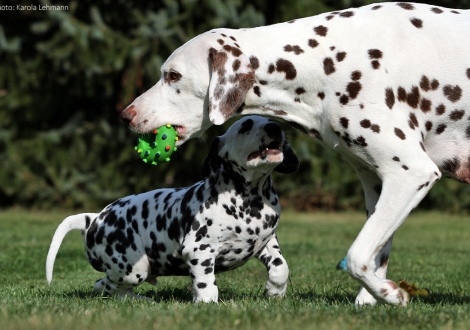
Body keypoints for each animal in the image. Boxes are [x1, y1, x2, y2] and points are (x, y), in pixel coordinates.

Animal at [46, 115, 298, 302]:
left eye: (271, 119)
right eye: (245, 126)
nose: (275, 127)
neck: (250, 200)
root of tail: (95, 218)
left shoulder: (266, 242)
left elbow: (281, 268)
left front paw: (274, 291)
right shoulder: (199, 250)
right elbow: (206, 284)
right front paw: (206, 303)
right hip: (132, 269)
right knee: (103, 286)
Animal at [120, 3, 470, 306]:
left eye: (173, 76)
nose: (125, 115)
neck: (329, 60)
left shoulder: (410, 174)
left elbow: (356, 256)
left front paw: (391, 294)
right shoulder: (377, 183)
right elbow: (376, 257)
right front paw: (374, 298)